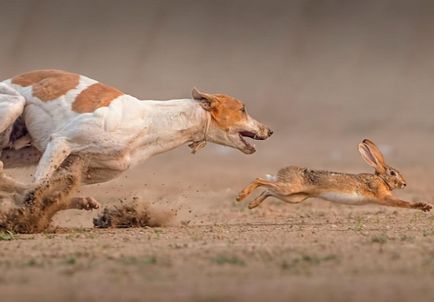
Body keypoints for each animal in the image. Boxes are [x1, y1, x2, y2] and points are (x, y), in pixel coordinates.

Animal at [0, 69, 272, 209]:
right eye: (243, 109)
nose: (269, 131)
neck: (150, 122)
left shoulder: (81, 169)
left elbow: (47, 188)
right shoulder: (61, 141)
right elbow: (38, 185)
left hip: (24, 151)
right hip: (14, 106)